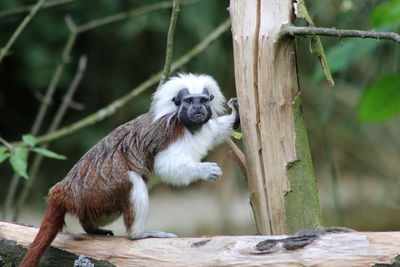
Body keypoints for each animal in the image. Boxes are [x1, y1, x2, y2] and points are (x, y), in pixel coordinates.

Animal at [20, 73, 239, 267]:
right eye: (189, 101)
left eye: (203, 100)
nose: (197, 108)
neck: (188, 125)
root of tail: (64, 189)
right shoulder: (171, 133)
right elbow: (166, 166)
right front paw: (205, 170)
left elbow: (215, 132)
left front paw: (235, 116)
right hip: (98, 191)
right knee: (132, 180)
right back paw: (138, 234)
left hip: (94, 201)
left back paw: (90, 227)